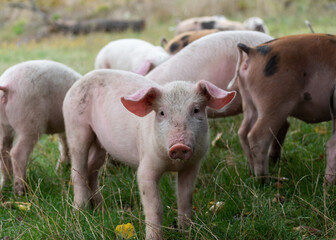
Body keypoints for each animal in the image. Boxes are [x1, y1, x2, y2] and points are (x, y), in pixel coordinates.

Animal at [0, 59, 81, 195]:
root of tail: (7, 85)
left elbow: (64, 145)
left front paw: (61, 170)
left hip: (3, 125)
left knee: (4, 150)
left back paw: (6, 184)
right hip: (30, 122)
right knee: (17, 153)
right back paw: (21, 192)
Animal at [63, 68, 236, 239]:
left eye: (196, 110)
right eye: (161, 113)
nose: (179, 145)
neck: (173, 164)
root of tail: (78, 82)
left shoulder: (192, 166)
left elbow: (185, 198)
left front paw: (186, 231)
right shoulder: (147, 165)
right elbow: (155, 206)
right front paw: (154, 237)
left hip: (101, 143)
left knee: (91, 168)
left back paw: (100, 208)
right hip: (75, 127)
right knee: (77, 169)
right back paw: (80, 210)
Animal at [230, 33, 336, 180]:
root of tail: (252, 51)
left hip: (249, 101)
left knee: (243, 132)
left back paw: (251, 172)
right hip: (274, 101)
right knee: (257, 136)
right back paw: (265, 180)